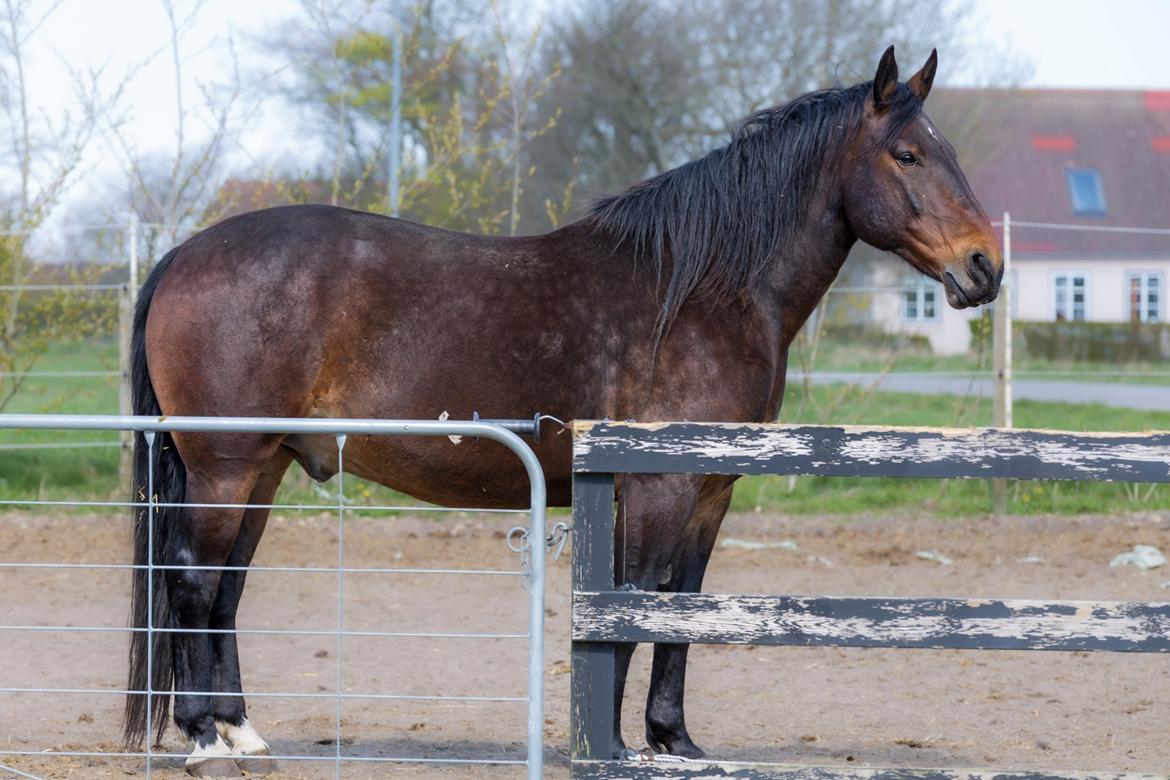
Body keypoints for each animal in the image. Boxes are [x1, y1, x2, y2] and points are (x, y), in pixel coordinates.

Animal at [118, 48, 1001, 776]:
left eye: (953, 153)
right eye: (908, 154)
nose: (984, 266)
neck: (703, 292)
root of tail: (182, 253)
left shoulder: (709, 493)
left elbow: (678, 606)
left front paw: (673, 742)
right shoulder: (655, 491)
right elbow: (629, 604)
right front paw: (608, 746)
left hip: (262, 468)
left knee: (225, 590)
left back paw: (243, 734)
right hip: (226, 468)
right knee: (191, 581)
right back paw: (202, 740)